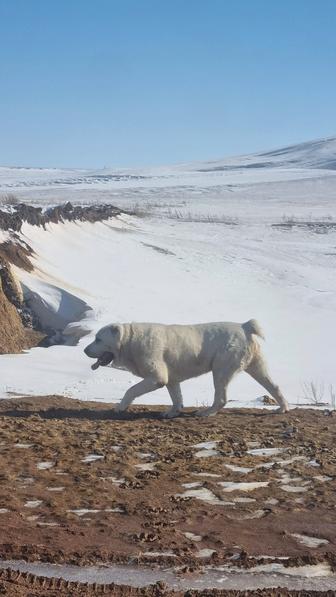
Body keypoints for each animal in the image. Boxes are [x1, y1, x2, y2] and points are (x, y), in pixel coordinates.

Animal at [82, 318, 288, 416]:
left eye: (98, 339)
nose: (84, 350)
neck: (129, 340)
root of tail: (245, 326)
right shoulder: (171, 378)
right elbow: (176, 396)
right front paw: (173, 412)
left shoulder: (157, 376)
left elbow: (131, 390)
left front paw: (120, 407)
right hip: (256, 364)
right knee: (274, 386)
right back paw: (282, 408)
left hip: (221, 368)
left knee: (221, 397)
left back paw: (206, 413)